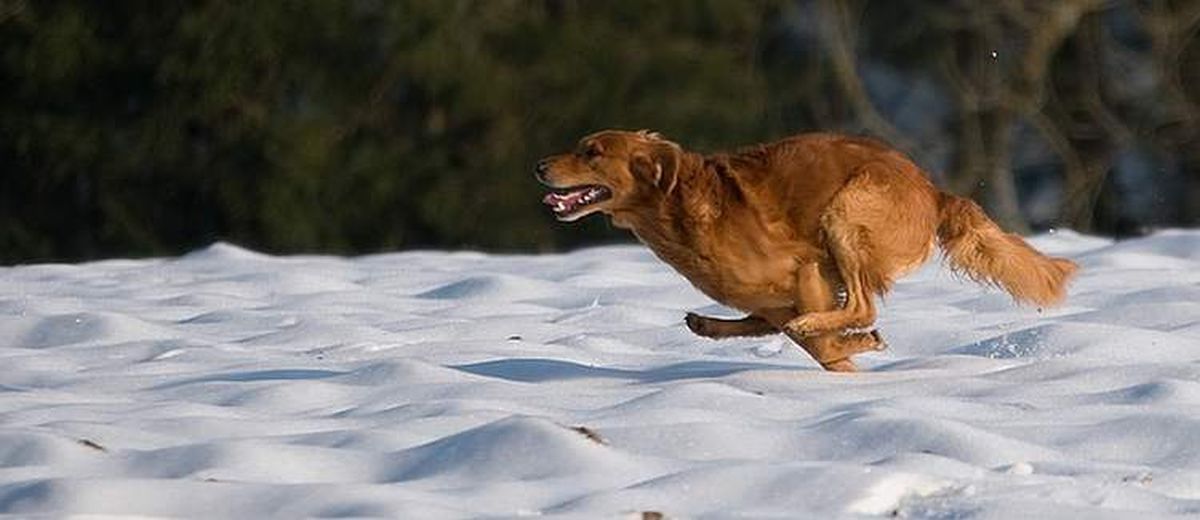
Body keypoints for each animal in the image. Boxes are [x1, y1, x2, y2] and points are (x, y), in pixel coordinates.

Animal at [535, 131, 1080, 369]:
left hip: (845, 213)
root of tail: (932, 190)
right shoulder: (776, 296)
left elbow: (823, 338)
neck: (675, 206)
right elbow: (804, 339)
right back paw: (710, 324)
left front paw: (856, 350)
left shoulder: (806, 270)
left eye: (592, 152)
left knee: (860, 305)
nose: (539, 166)